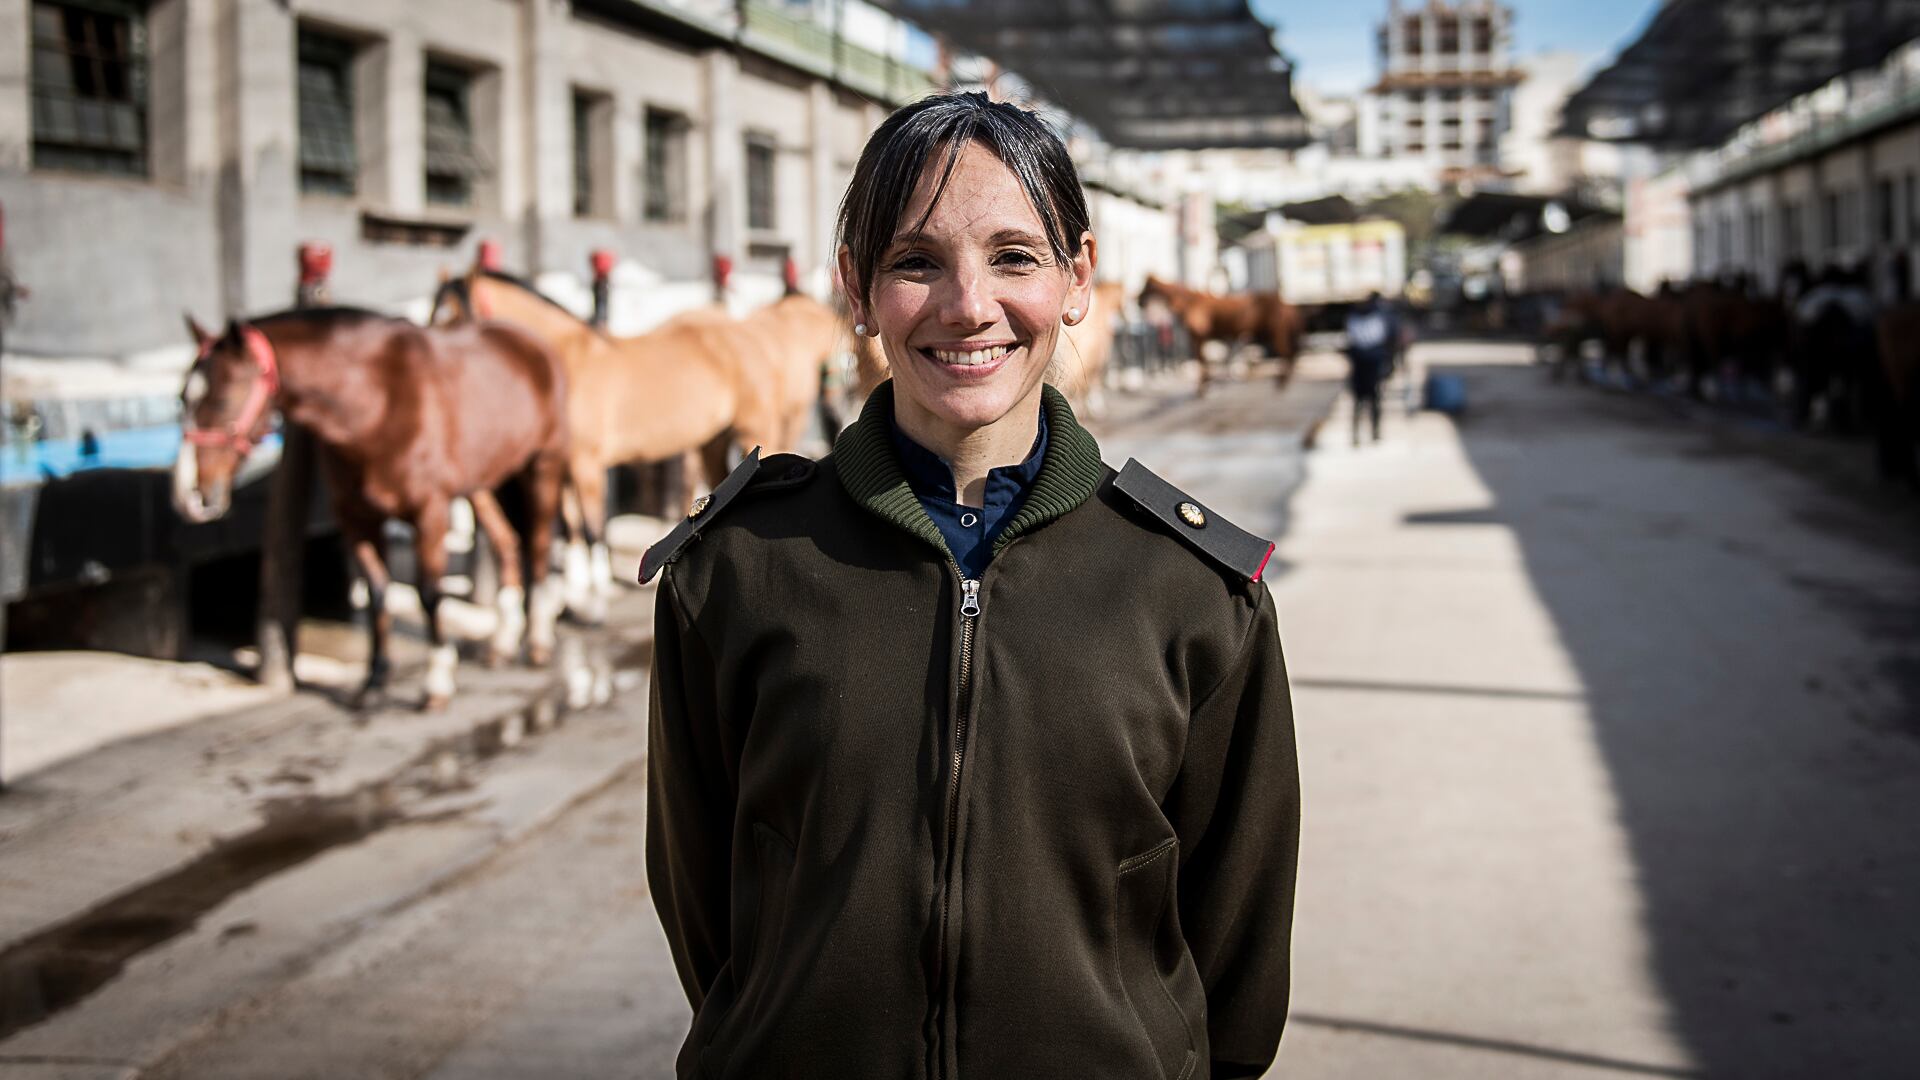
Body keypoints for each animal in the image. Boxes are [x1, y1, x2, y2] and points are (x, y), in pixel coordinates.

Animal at [172, 305, 568, 707]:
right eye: (182, 399)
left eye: (221, 400)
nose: (189, 494)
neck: (373, 405)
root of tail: (529, 339)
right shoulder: (357, 517)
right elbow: (377, 593)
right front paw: (375, 680)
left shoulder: (429, 510)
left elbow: (429, 593)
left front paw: (437, 681)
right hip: (482, 483)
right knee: (507, 543)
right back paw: (503, 643)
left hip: (543, 464)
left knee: (538, 546)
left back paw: (538, 642)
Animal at [1136, 274, 1305, 393]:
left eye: (1145, 287)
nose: (1137, 300)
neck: (1189, 302)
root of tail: (1286, 303)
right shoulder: (1200, 339)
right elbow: (1204, 362)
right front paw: (1206, 385)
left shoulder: (1198, 338)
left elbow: (1202, 362)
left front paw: (1202, 389)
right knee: (1291, 354)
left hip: (1277, 333)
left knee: (1288, 354)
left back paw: (1281, 382)